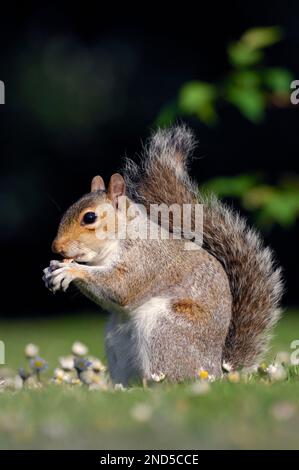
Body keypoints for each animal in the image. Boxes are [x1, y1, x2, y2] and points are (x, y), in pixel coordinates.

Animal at [42, 126, 284, 386]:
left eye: (89, 217)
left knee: (172, 379)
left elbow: (121, 287)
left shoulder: (147, 259)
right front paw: (50, 271)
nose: (56, 247)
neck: (122, 236)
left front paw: (71, 270)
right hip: (117, 342)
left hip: (166, 331)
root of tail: (216, 370)